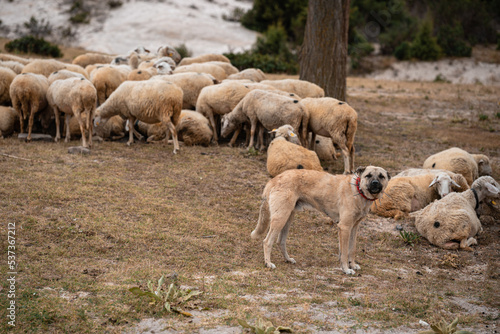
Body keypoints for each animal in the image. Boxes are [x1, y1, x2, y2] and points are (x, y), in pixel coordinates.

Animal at [250, 166, 390, 274]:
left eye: (381, 176)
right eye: (368, 175)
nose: (375, 183)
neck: (357, 190)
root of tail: (274, 179)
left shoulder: (353, 228)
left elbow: (351, 249)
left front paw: (352, 264)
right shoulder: (345, 227)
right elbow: (345, 252)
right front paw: (346, 269)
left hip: (288, 218)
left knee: (280, 241)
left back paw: (288, 259)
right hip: (280, 218)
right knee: (267, 241)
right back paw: (268, 263)